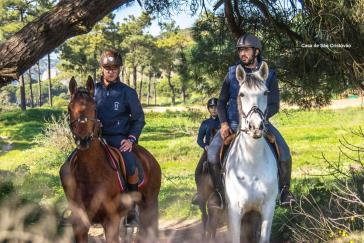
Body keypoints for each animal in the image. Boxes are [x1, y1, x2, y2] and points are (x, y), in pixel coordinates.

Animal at [59, 76, 161, 243]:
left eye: (94, 108)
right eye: (69, 108)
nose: (83, 140)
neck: (91, 172)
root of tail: (149, 158)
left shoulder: (111, 220)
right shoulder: (80, 225)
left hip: (149, 204)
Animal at [225, 61, 278, 243]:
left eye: (266, 92)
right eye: (241, 94)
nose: (255, 126)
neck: (251, 161)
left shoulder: (268, 208)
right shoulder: (234, 211)